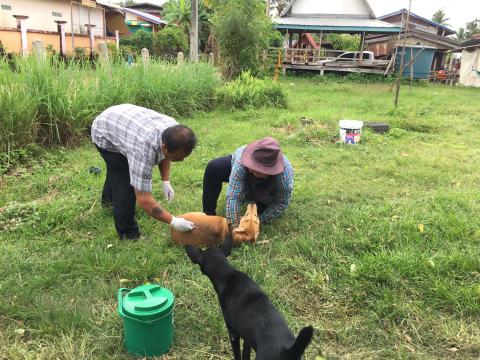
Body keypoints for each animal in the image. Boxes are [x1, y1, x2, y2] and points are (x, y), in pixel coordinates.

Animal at [185, 236, 316, 360]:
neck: (228, 274)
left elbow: (237, 355)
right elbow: (245, 353)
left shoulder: (233, 334)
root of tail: (286, 351)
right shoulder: (247, 337)